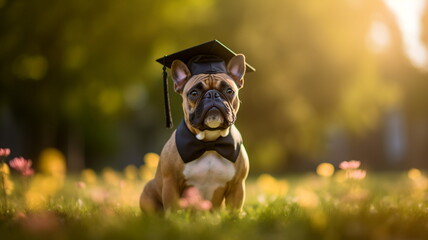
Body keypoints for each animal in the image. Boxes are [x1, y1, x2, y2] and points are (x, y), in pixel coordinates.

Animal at [139, 54, 249, 212]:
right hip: (149, 190)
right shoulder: (171, 183)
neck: (210, 143)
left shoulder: (237, 187)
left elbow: (233, 209)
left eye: (229, 91)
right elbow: (173, 209)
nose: (212, 94)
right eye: (194, 93)